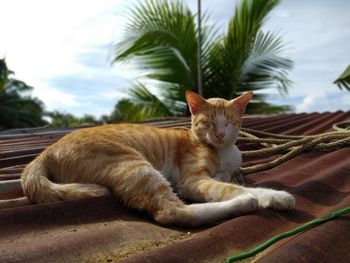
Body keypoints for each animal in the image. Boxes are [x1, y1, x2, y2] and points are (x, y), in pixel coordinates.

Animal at [21, 91, 296, 227]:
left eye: (228, 122)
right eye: (208, 122)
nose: (219, 134)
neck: (223, 150)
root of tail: (47, 149)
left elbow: (229, 179)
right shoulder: (193, 181)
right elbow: (229, 188)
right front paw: (269, 196)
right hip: (135, 166)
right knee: (172, 212)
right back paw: (243, 204)